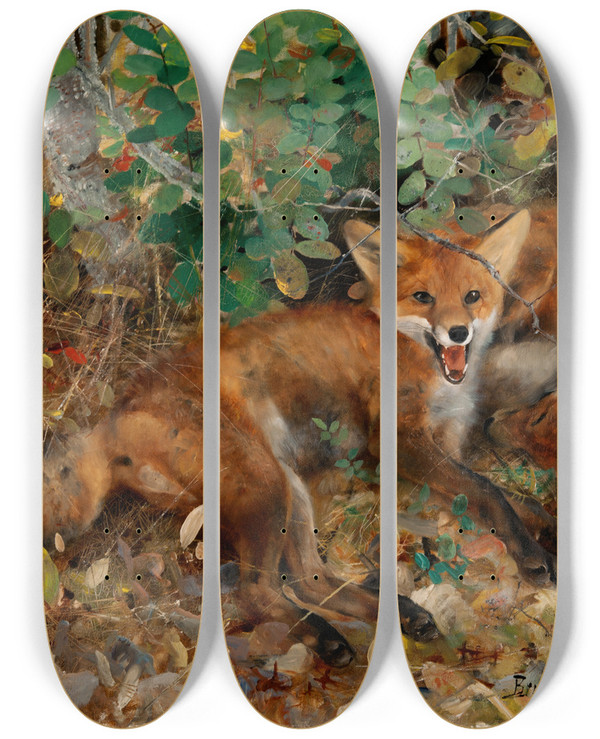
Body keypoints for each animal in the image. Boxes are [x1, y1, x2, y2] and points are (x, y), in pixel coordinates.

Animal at [43, 206, 555, 666]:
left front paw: (546, 527)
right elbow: (491, 492)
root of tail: (116, 413)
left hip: (288, 488)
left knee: (309, 578)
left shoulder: (444, 446)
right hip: (264, 483)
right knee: (257, 590)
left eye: (473, 295)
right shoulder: (402, 443)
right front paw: (532, 557)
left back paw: (401, 615)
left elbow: (509, 497)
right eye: (423, 297)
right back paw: (326, 638)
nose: (458, 332)